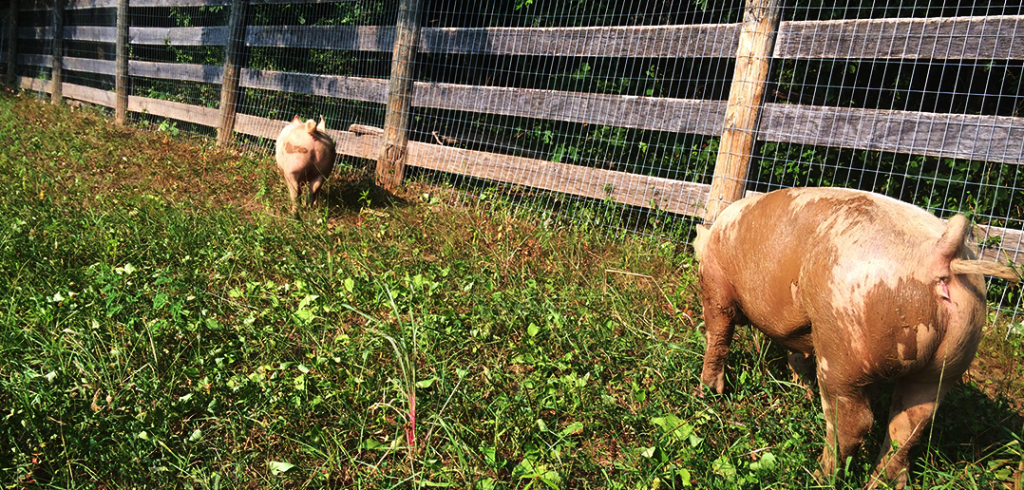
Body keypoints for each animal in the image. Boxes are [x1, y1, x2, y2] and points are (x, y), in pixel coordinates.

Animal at [692, 187, 1019, 489]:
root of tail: (938, 253)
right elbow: (797, 354)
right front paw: (800, 389)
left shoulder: (716, 284)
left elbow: (718, 334)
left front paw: (706, 392)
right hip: (948, 362)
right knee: (909, 427)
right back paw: (878, 482)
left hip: (844, 348)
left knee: (853, 422)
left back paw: (818, 478)